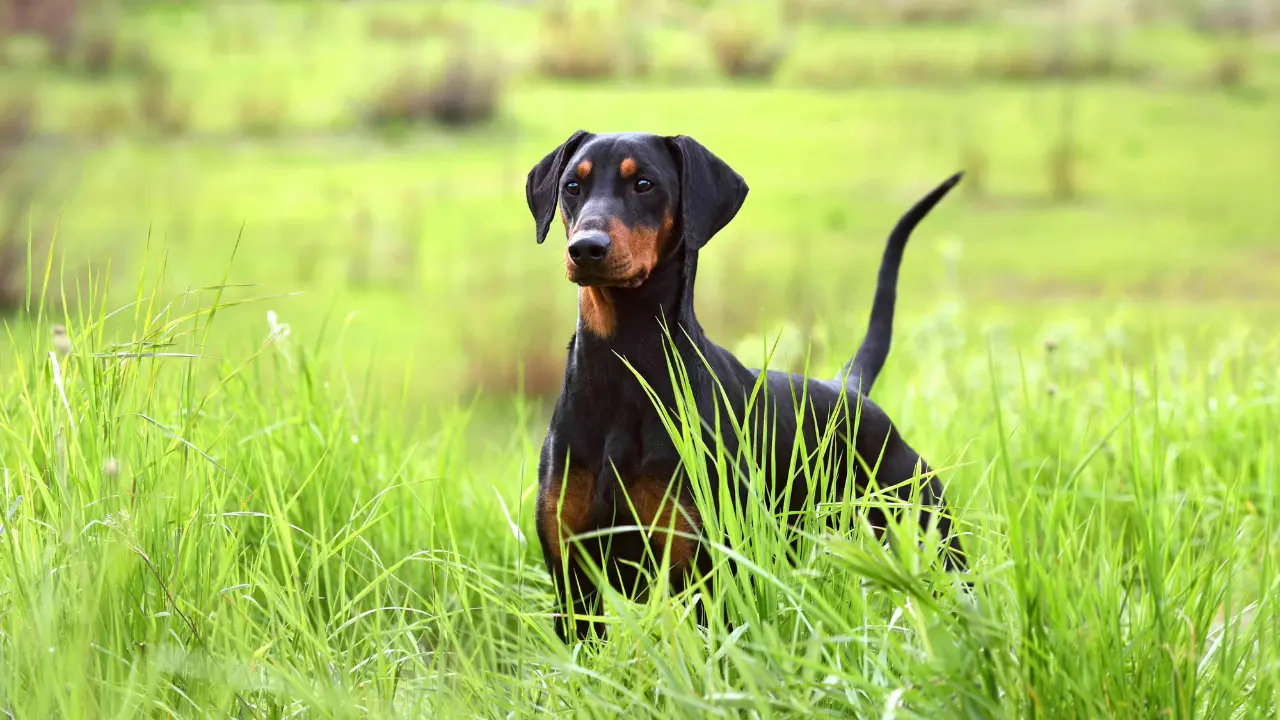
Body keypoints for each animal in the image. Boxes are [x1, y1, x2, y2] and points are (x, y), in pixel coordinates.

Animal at [524, 128, 962, 638]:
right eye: (573, 187)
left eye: (644, 184)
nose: (586, 249)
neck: (622, 367)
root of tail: (848, 389)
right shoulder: (573, 583)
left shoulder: (702, 574)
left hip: (931, 534)